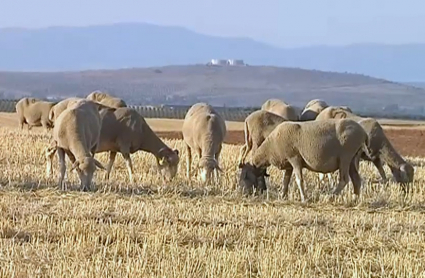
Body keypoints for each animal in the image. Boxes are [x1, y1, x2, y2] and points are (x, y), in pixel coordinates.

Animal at [237, 118, 370, 201]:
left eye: (245, 175)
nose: (242, 193)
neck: (271, 147)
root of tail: (363, 133)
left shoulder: (294, 158)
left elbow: (299, 180)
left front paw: (304, 198)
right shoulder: (289, 164)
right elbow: (286, 180)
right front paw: (283, 196)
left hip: (345, 157)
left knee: (344, 179)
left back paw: (330, 197)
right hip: (353, 158)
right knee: (356, 180)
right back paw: (355, 199)